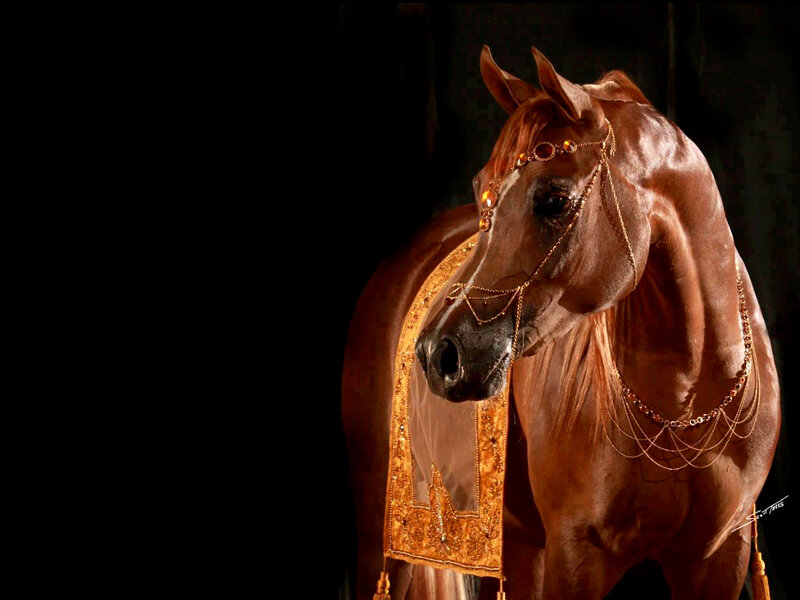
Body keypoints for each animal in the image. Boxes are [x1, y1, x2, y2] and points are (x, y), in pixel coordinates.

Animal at [341, 45, 781, 600]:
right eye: (482, 189)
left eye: (553, 199)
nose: (437, 353)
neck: (684, 403)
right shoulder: (577, 555)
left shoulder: (717, 557)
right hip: (383, 537)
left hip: (519, 545)